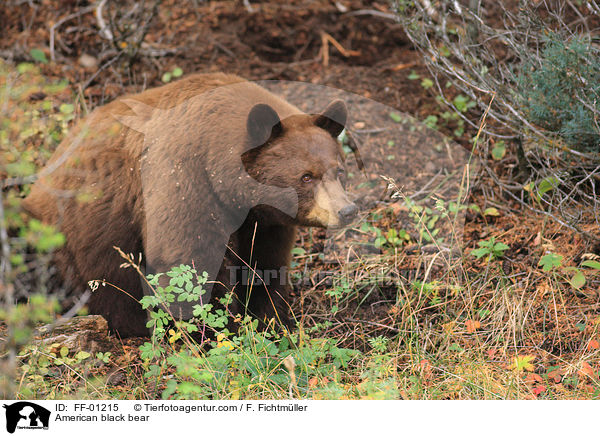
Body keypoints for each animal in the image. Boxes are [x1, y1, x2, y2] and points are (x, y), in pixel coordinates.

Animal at [23, 72, 358, 338]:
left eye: (340, 170)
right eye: (306, 176)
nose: (347, 210)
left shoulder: (265, 220)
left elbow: (266, 261)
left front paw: (270, 319)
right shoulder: (183, 178)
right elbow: (186, 259)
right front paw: (213, 331)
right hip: (55, 237)